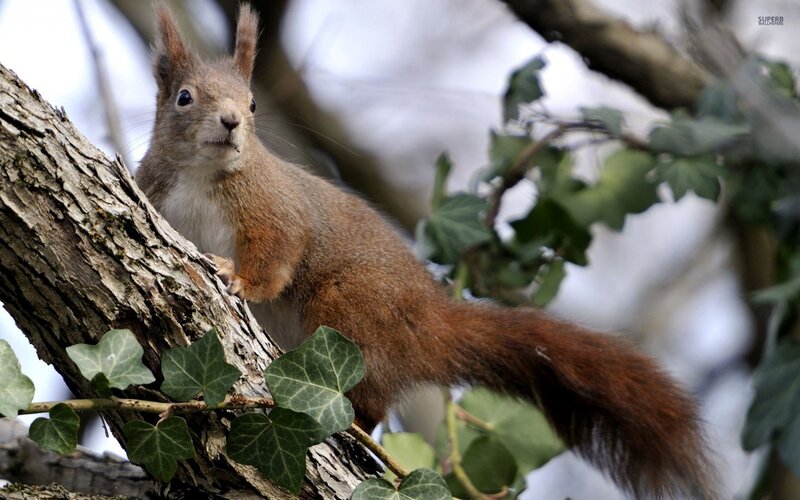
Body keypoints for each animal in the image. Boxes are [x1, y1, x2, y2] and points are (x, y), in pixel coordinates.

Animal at [135, 3, 716, 498]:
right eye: (185, 97)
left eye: (253, 103)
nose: (232, 121)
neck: (202, 175)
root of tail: (430, 320)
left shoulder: (276, 210)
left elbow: (278, 256)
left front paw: (238, 278)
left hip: (352, 312)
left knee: (368, 400)